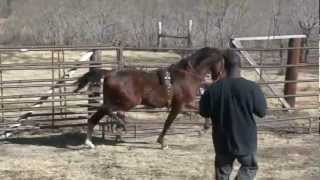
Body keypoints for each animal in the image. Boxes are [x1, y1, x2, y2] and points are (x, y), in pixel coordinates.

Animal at [74, 47, 226, 148]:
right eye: (222, 61)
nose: (220, 76)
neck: (187, 75)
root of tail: (109, 73)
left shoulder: (186, 104)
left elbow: (201, 111)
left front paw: (204, 128)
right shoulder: (179, 105)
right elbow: (168, 123)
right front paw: (162, 142)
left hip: (116, 101)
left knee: (96, 115)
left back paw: (89, 142)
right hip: (128, 102)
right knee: (107, 110)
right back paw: (123, 125)